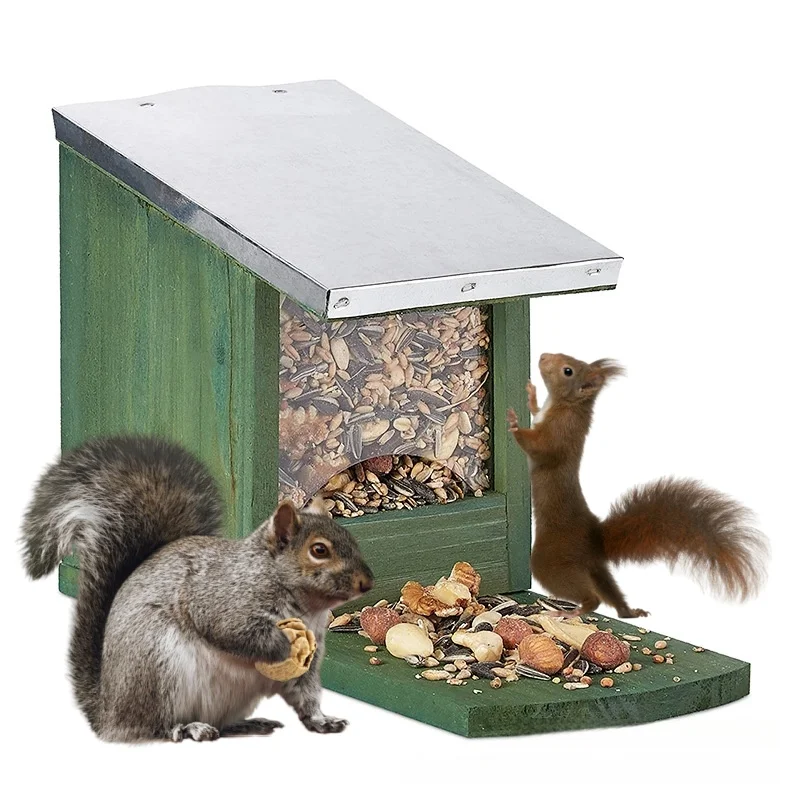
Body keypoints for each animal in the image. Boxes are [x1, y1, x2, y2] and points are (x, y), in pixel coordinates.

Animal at [20, 436, 374, 743]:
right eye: (319, 550)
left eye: (352, 539)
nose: (366, 582)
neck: (305, 607)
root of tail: (107, 712)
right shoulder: (221, 599)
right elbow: (230, 630)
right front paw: (283, 645)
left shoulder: (311, 656)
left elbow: (305, 693)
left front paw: (322, 720)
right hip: (159, 670)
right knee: (153, 726)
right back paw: (188, 728)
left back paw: (245, 725)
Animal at [507, 353, 767, 618]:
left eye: (567, 370)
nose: (542, 356)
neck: (567, 404)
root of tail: (594, 539)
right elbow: (536, 411)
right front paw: (531, 395)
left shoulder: (559, 434)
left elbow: (540, 448)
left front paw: (514, 424)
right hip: (596, 568)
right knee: (610, 593)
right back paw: (630, 612)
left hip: (551, 561)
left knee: (592, 598)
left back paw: (571, 612)